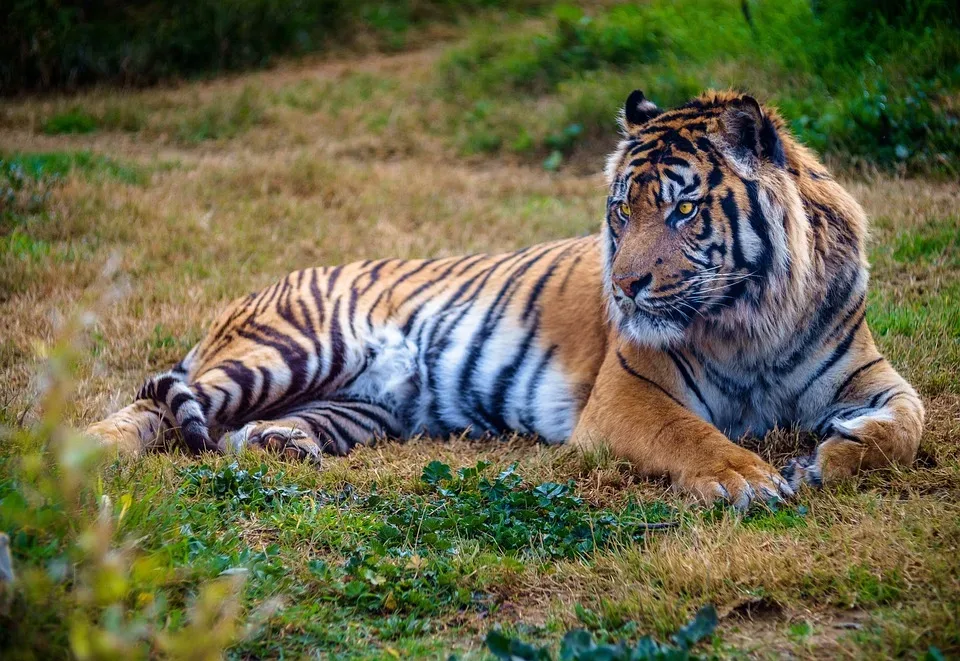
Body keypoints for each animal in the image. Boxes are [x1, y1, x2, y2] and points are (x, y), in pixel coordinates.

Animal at [88, 90, 924, 508]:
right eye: (622, 210)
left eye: (683, 209)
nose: (625, 287)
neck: (756, 320)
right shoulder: (628, 397)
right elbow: (690, 434)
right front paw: (748, 477)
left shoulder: (865, 373)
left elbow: (908, 424)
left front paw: (831, 456)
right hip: (292, 347)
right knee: (157, 403)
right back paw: (92, 451)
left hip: (361, 405)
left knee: (237, 430)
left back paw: (277, 443)